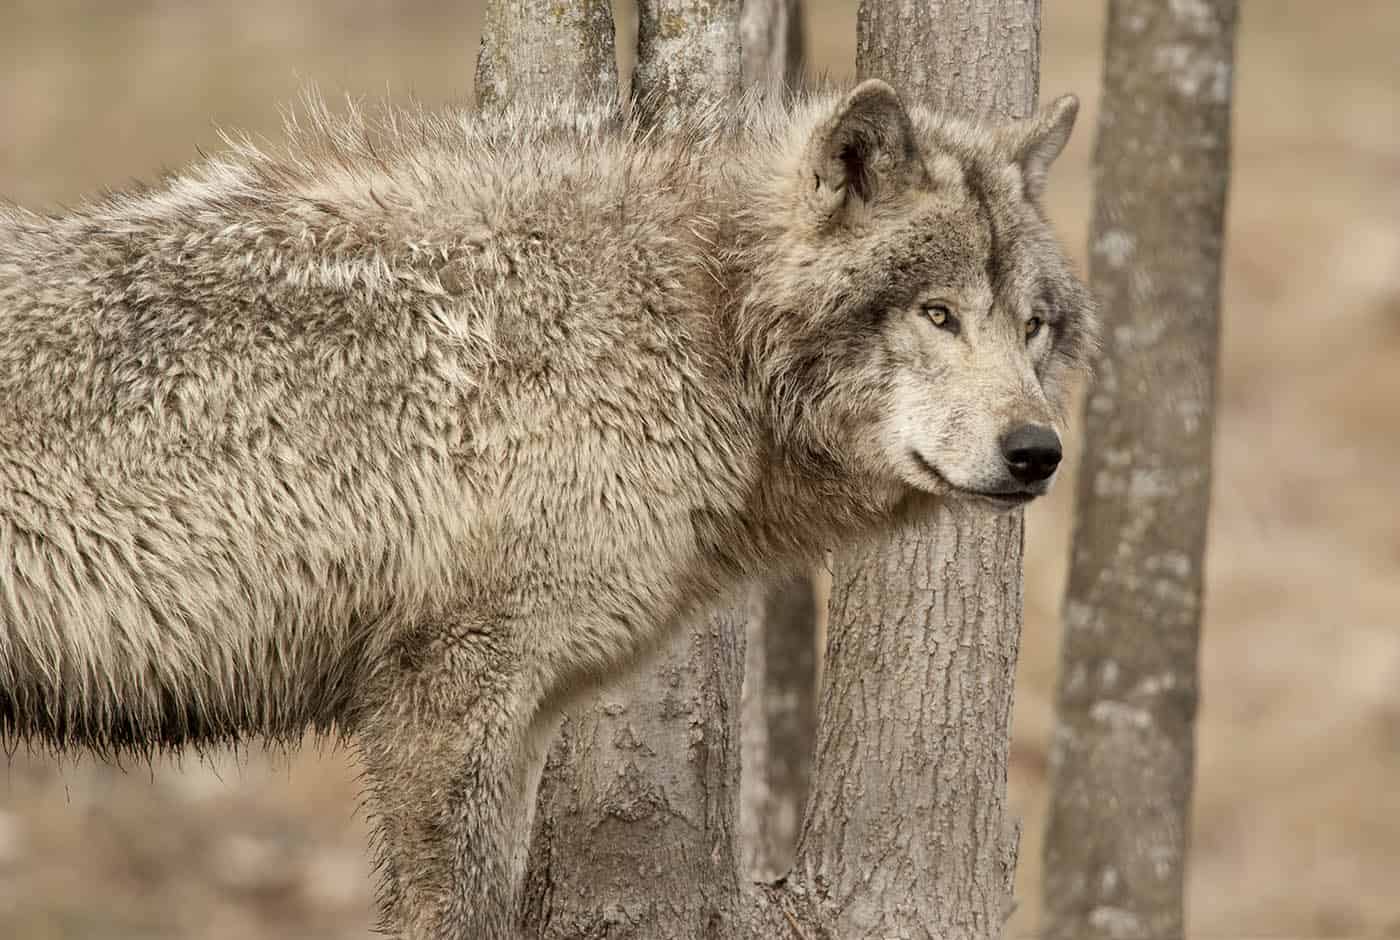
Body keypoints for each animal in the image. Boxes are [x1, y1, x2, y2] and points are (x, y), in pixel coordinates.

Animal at [0, 82, 1092, 940]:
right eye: (937, 315)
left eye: (1031, 325)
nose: (1037, 454)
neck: (691, 323)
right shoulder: (447, 696)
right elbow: (449, 912)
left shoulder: (522, 716)